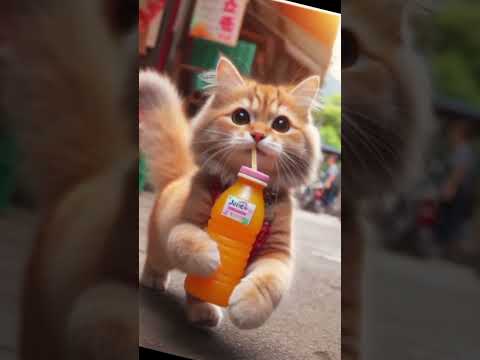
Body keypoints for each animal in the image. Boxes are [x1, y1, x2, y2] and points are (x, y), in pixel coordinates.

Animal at [139, 56, 322, 330]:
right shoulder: (184, 223)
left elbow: (269, 284)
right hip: (160, 246)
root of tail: (179, 177)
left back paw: (203, 310)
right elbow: (189, 241)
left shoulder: (278, 253)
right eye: (240, 116)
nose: (257, 134)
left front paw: (248, 309)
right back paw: (155, 280)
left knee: (193, 293)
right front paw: (213, 258)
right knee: (156, 260)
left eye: (281, 124)